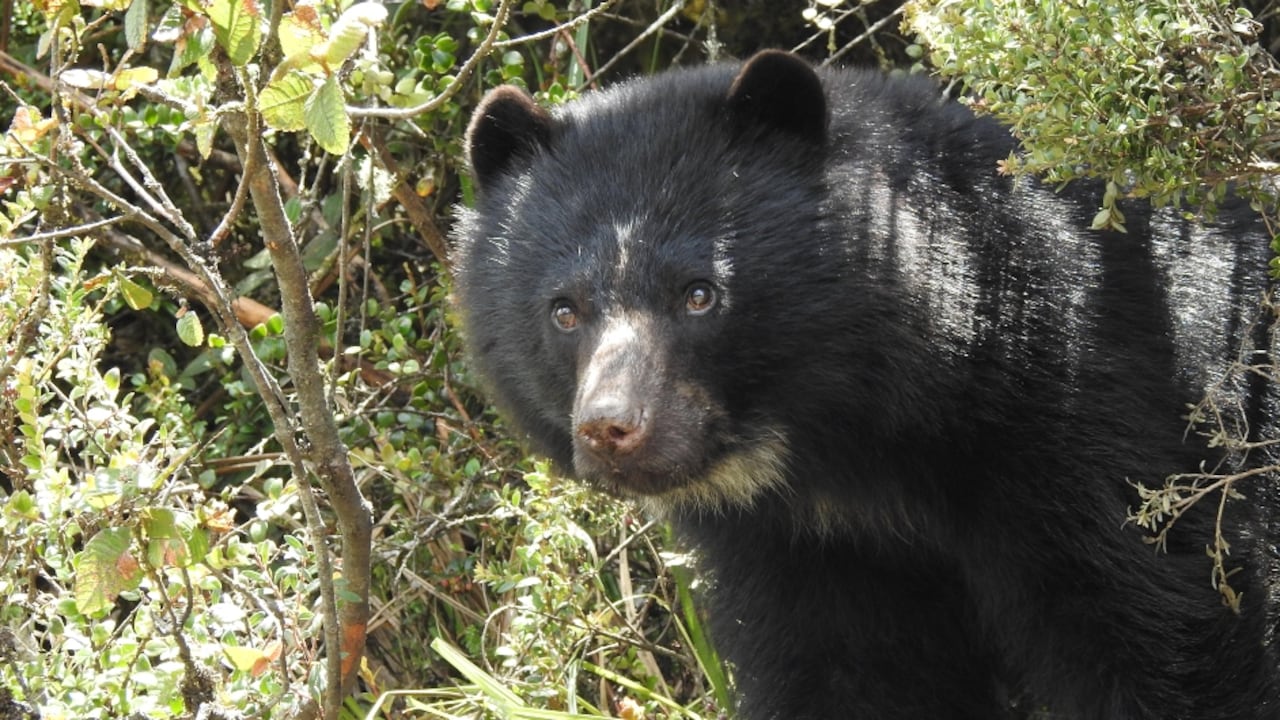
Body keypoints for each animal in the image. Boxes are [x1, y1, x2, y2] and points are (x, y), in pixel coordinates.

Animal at [451, 50, 1280, 719]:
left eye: (700, 294)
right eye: (564, 310)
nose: (611, 429)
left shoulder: (1110, 430)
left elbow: (1164, 635)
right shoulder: (809, 550)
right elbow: (854, 674)